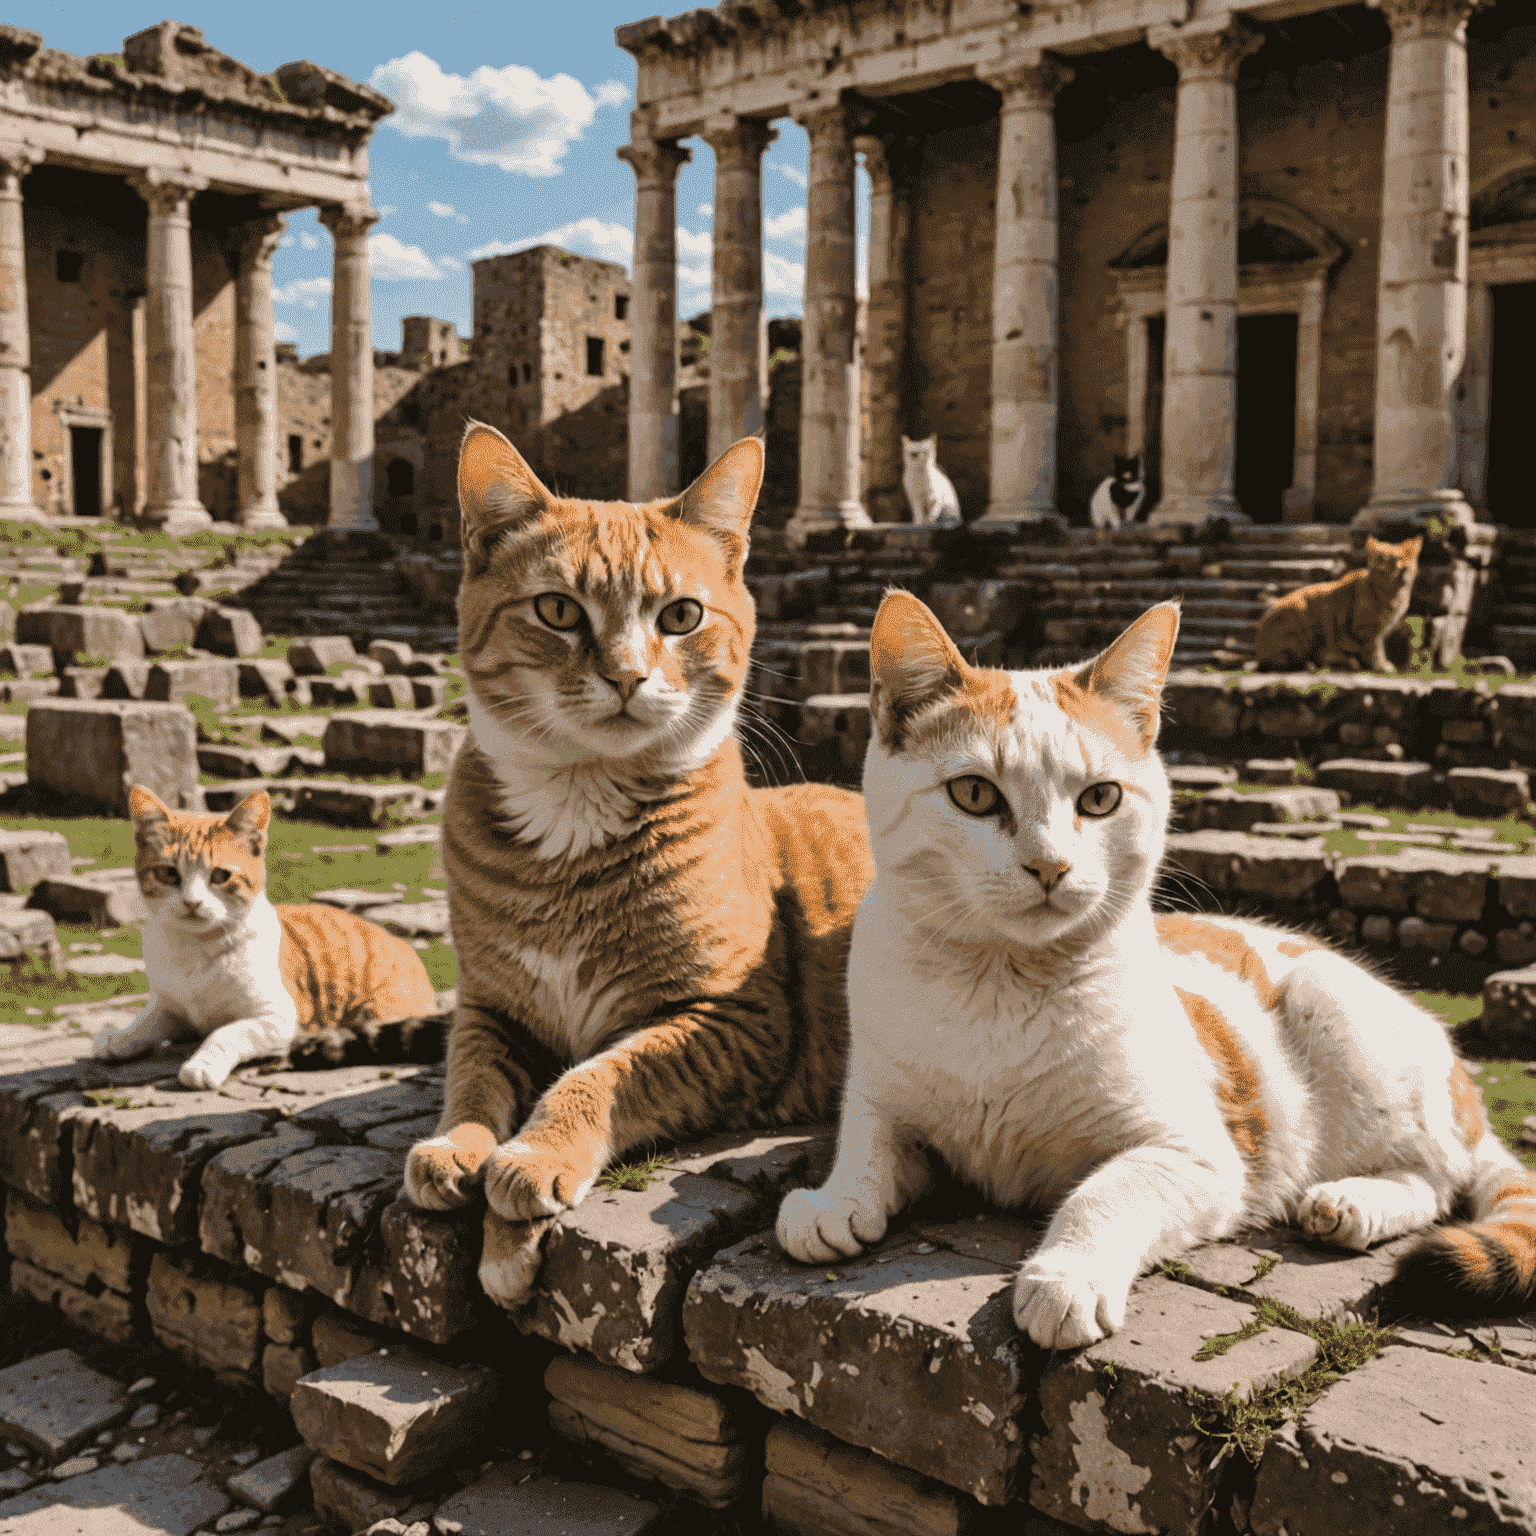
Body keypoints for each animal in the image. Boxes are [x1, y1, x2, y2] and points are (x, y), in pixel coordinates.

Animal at [92, 792, 439, 1093]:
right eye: (167, 873)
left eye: (220, 876)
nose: (192, 902)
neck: (197, 949)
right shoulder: (172, 1008)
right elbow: (149, 1019)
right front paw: (120, 1037)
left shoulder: (279, 1017)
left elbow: (226, 1031)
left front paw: (202, 1064)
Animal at [402, 423, 872, 1308]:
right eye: (557, 609)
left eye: (681, 615)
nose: (626, 674)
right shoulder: (489, 1005)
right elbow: (471, 1075)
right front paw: (458, 1146)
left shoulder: (733, 1019)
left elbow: (603, 1074)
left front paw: (528, 1171)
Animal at [780, 592, 1536, 1351]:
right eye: (973, 793)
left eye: (1100, 799)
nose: (1050, 866)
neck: (997, 985)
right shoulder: (883, 1098)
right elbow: (867, 1143)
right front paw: (833, 1201)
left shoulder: (1194, 1154)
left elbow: (1105, 1192)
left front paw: (1066, 1278)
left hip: (1338, 1016)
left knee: (1439, 1175)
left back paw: (1351, 1201)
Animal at [1253, 534, 1419, 672]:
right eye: (1381, 558)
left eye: (1397, 559)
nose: (1384, 566)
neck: (1393, 594)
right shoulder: (1367, 630)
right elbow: (1375, 650)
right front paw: (1380, 666)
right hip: (1300, 628)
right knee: (1281, 664)